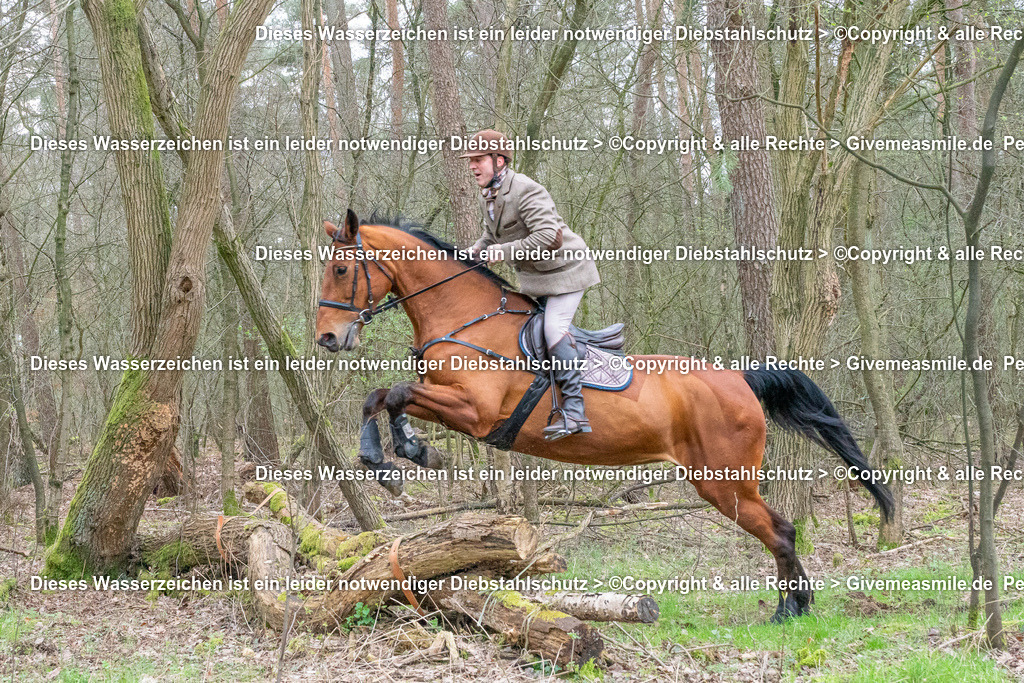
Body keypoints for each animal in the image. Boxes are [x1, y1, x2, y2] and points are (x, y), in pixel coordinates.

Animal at [315, 210, 892, 622]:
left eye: (341, 269)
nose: (327, 338)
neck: (467, 319)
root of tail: (740, 379)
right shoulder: (446, 400)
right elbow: (381, 396)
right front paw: (395, 457)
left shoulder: (475, 413)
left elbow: (395, 393)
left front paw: (403, 454)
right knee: (781, 529)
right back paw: (798, 607)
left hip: (722, 481)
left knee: (781, 531)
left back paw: (787, 611)